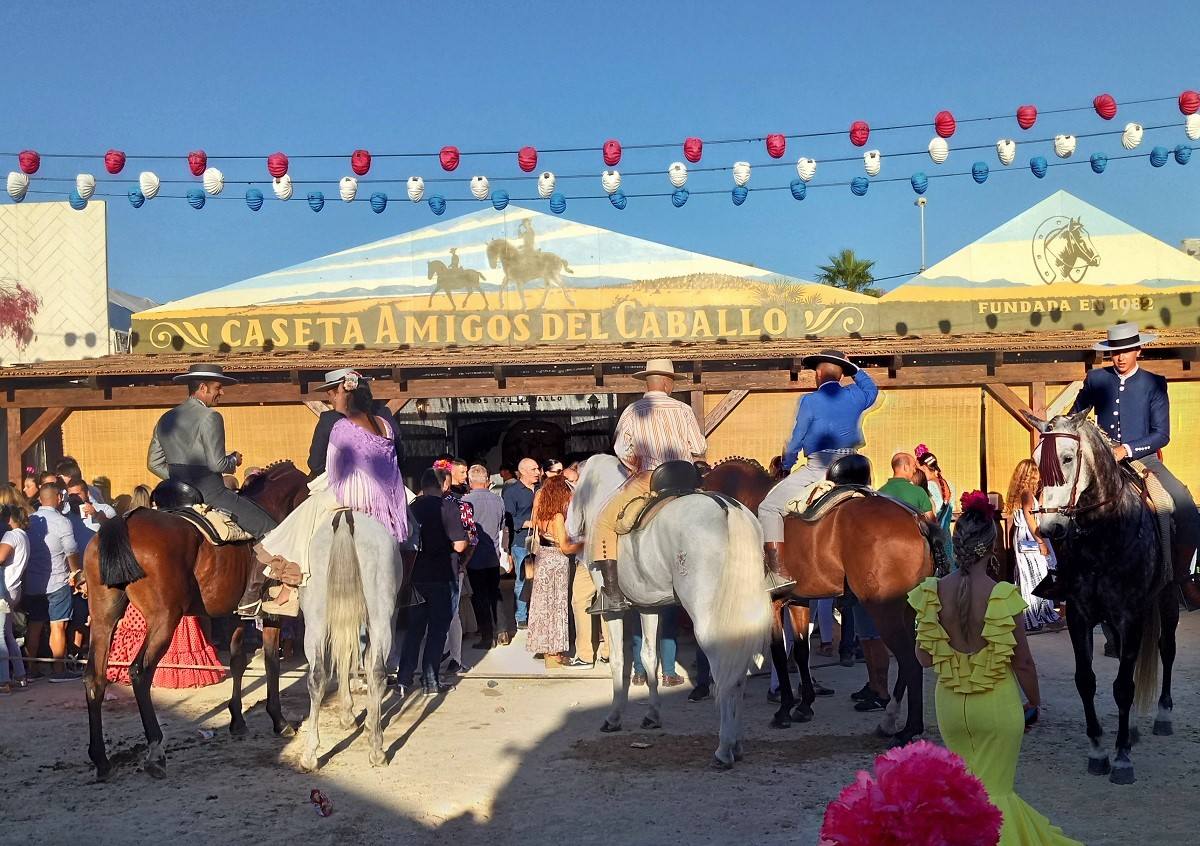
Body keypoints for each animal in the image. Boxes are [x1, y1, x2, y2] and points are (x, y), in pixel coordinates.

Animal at [84, 460, 309, 777]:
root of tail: (125, 521)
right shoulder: (272, 613)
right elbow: (271, 663)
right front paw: (279, 721)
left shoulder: (234, 616)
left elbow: (238, 662)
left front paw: (237, 720)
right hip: (164, 620)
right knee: (140, 672)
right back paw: (155, 750)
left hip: (104, 618)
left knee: (95, 678)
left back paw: (101, 759)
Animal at [297, 508, 400, 772]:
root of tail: (344, 518)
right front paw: (365, 719)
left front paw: (348, 714)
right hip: (381, 617)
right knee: (377, 672)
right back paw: (377, 749)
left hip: (315, 618)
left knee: (317, 676)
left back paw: (310, 755)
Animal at [568, 456, 772, 768]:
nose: (568, 531)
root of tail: (727, 507)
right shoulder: (647, 608)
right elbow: (648, 657)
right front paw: (652, 714)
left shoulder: (611, 613)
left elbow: (619, 662)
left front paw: (614, 717)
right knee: (737, 677)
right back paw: (735, 744)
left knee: (725, 675)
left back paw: (725, 748)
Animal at [705, 451, 931, 744]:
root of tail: (916, 520)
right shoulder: (798, 601)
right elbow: (801, 652)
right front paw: (803, 705)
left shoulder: (772, 604)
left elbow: (779, 654)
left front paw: (784, 710)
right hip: (906, 611)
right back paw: (890, 720)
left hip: (885, 611)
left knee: (910, 663)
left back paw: (908, 729)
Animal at [1022, 410, 1180, 787]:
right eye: (1037, 460)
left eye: (1067, 458)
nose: (1050, 528)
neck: (1104, 531)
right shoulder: (1079, 616)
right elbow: (1086, 680)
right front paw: (1098, 751)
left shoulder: (1130, 616)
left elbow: (1123, 686)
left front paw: (1122, 759)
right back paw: (1133, 727)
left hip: (1167, 599)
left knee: (1166, 650)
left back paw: (1162, 715)